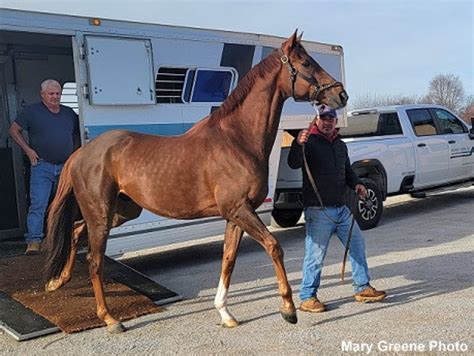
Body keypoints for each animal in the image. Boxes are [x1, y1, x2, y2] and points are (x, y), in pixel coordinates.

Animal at [43, 31, 348, 334]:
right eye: (306, 63)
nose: (340, 94)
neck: (237, 139)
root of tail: (82, 153)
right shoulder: (239, 210)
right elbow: (273, 246)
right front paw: (288, 309)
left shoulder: (235, 215)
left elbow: (228, 259)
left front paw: (225, 313)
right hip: (102, 215)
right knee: (94, 260)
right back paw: (109, 318)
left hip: (120, 212)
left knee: (75, 231)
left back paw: (57, 281)